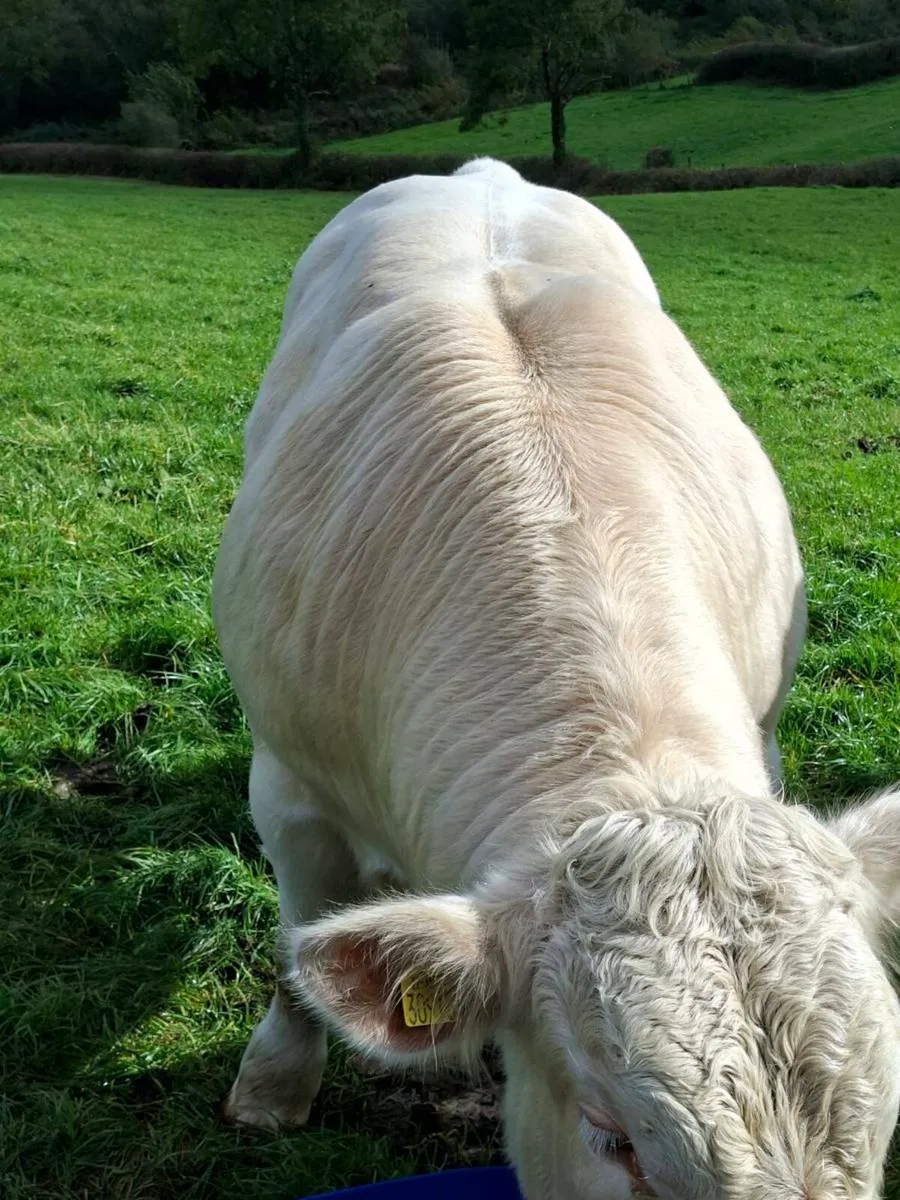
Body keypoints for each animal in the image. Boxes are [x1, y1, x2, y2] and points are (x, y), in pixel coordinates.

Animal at [212, 158, 900, 1199]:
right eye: (613, 1137)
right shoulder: (289, 786)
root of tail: (477, 171)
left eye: (881, 1126)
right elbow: (301, 943)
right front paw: (272, 1086)